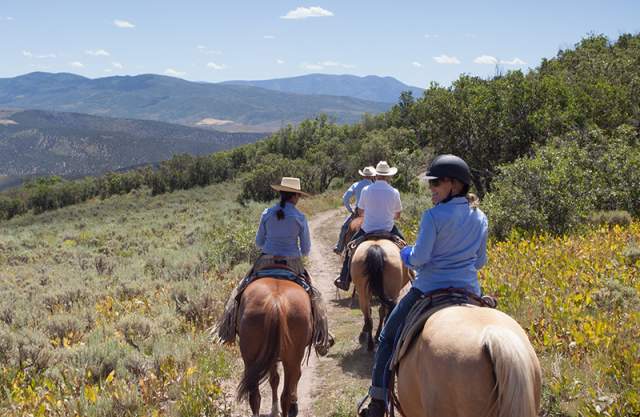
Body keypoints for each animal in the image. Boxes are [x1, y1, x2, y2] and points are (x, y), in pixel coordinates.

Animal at [238, 276, 312, 416]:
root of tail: (276, 301)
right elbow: (291, 377)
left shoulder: (271, 357)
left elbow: (274, 379)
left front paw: (274, 408)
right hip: (291, 360)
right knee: (286, 395)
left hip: (250, 359)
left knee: (254, 396)